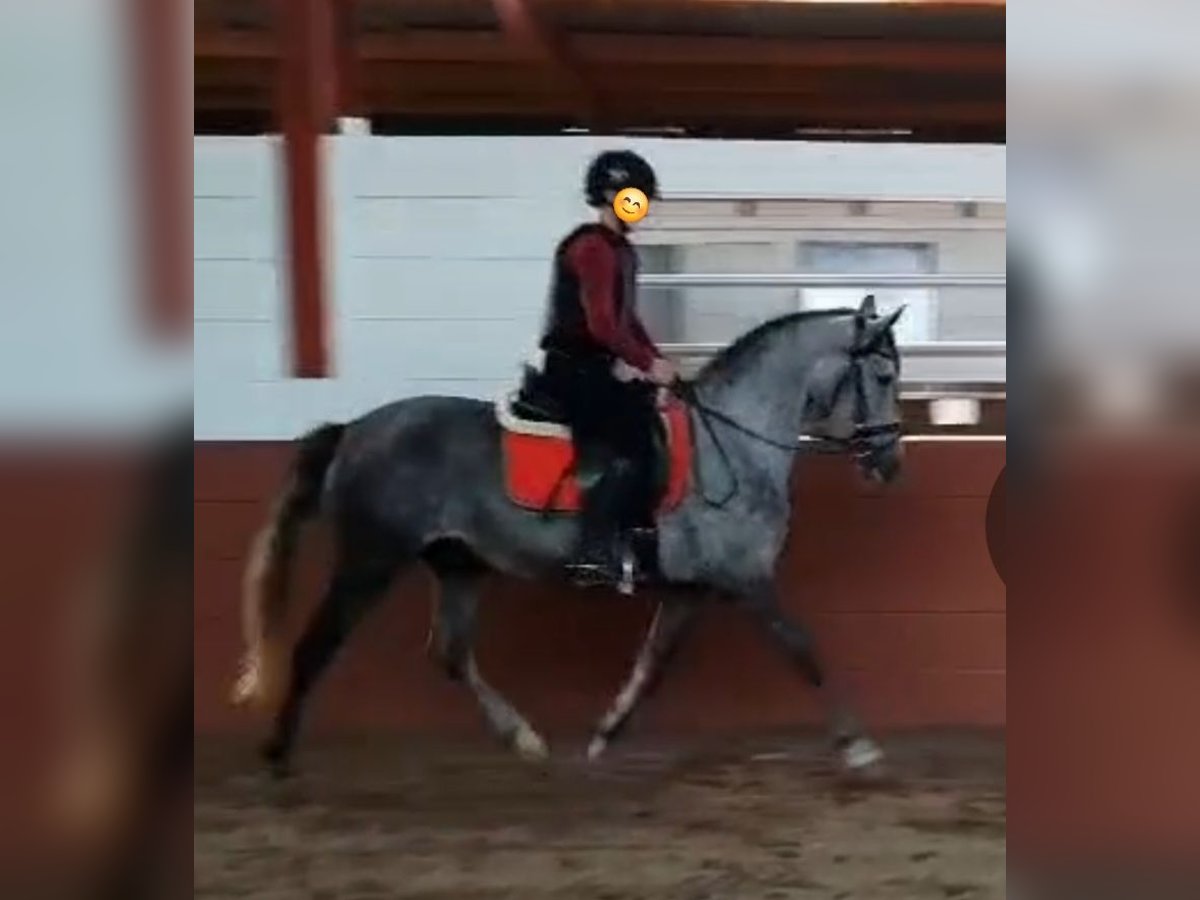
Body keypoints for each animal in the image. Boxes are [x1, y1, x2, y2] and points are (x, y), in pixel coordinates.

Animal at [234, 297, 902, 782]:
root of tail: (353, 430)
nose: (888, 465)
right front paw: (859, 746)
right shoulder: (747, 580)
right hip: (369, 560)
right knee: (315, 647)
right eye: (885, 374)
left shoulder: (691, 589)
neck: (733, 445)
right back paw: (277, 755)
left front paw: (604, 735)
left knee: (449, 652)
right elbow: (802, 649)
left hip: (459, 564)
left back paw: (523, 738)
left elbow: (653, 663)